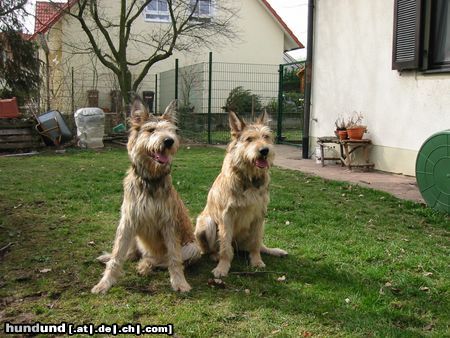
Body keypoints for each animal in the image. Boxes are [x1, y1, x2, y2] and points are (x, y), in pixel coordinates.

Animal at [92, 98, 200, 294]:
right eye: (151, 130)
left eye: (172, 131)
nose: (169, 141)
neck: (150, 180)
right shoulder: (128, 222)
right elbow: (117, 255)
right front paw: (105, 282)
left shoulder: (169, 224)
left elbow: (174, 259)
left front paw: (180, 283)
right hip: (134, 236)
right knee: (130, 253)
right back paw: (111, 258)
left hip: (193, 248)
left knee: (161, 261)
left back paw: (145, 265)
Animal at [194, 109, 286, 278]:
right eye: (249, 139)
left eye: (266, 137)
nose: (265, 151)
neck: (249, 178)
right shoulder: (226, 216)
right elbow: (225, 247)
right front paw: (222, 267)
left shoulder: (259, 215)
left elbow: (256, 244)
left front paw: (257, 261)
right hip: (207, 223)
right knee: (211, 249)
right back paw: (215, 256)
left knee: (257, 244)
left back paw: (273, 250)